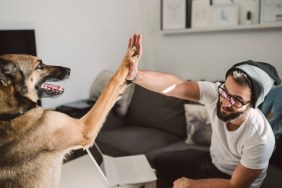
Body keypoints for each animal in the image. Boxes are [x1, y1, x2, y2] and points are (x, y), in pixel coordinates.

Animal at [0, 46, 136, 187]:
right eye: (40, 66)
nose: (69, 70)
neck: (12, 113)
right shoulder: (84, 128)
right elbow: (111, 83)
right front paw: (128, 59)